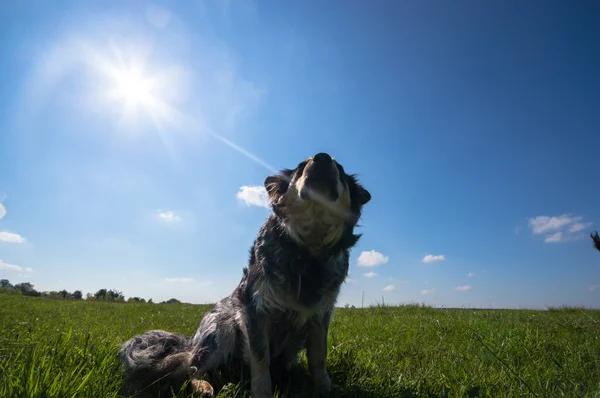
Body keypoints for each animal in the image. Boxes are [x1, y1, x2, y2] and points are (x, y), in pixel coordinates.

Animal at [118, 151, 370, 396]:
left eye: (341, 170)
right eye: (300, 167)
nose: (323, 157)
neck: (308, 249)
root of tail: (191, 342)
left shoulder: (320, 317)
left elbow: (318, 359)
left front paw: (326, 390)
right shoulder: (256, 311)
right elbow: (261, 361)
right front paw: (263, 393)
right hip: (222, 330)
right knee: (192, 369)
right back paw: (203, 387)